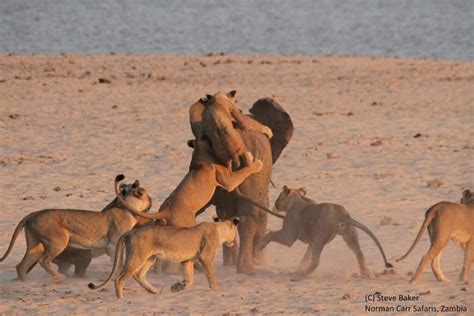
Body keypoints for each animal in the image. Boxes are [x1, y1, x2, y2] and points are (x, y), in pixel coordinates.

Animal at [0, 175, 151, 282]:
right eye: (145, 194)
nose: (151, 200)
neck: (126, 207)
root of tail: (33, 214)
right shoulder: (113, 245)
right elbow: (117, 263)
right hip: (58, 241)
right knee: (44, 261)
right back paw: (60, 278)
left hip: (35, 245)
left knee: (21, 266)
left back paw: (26, 283)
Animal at [88, 217, 239, 298]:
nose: (234, 241)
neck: (219, 229)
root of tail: (131, 231)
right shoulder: (206, 257)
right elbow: (211, 275)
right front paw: (217, 290)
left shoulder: (187, 260)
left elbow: (190, 279)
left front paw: (178, 287)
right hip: (138, 256)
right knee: (120, 278)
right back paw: (121, 298)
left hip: (150, 258)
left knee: (138, 275)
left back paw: (154, 291)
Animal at [258, 185, 390, 278]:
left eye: (279, 196)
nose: (275, 204)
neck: (297, 198)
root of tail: (342, 214)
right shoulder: (311, 241)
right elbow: (306, 256)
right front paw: (299, 268)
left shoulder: (288, 237)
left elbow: (270, 234)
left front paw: (260, 245)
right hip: (348, 235)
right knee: (359, 253)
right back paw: (365, 273)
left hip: (320, 237)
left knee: (316, 262)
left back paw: (302, 274)